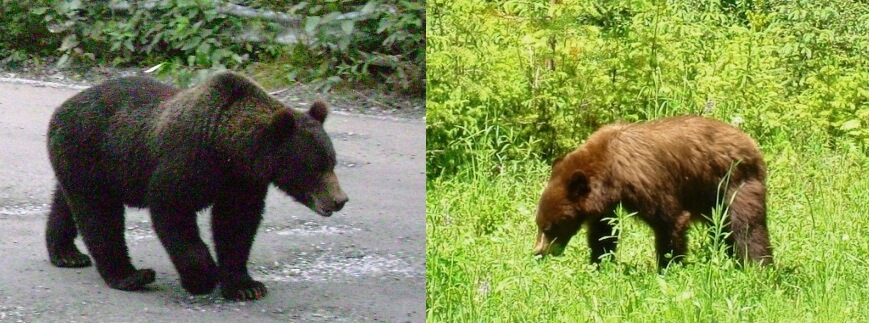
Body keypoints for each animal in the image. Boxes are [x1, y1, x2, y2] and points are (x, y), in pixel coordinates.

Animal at [45, 71, 350, 302]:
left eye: (332, 161)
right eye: (315, 167)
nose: (340, 200)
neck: (229, 149)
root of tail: (60, 109)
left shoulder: (242, 182)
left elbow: (236, 227)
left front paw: (246, 286)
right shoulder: (188, 161)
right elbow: (173, 212)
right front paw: (203, 277)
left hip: (90, 167)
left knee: (65, 204)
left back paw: (66, 253)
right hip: (89, 152)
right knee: (99, 215)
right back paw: (130, 275)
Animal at [532, 116, 768, 268]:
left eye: (550, 227)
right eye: (539, 224)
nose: (538, 252)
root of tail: (750, 142)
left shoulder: (647, 180)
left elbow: (670, 220)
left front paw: (668, 266)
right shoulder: (606, 204)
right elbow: (603, 231)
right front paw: (599, 263)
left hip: (734, 182)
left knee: (747, 226)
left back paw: (757, 267)